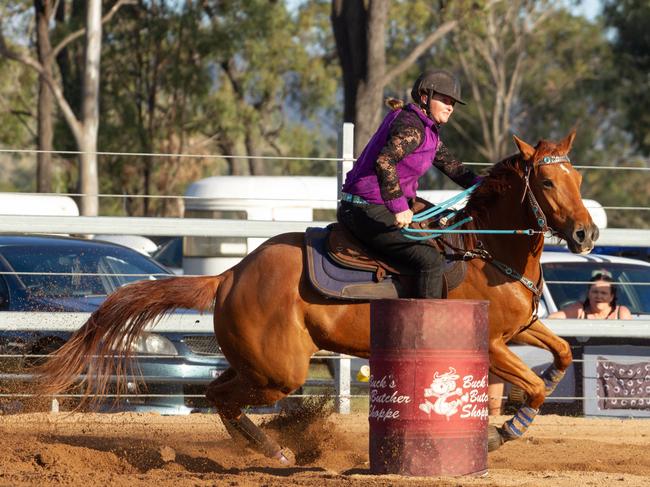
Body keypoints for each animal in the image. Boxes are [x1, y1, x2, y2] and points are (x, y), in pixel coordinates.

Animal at [36, 130, 596, 466]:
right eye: (547, 180)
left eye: (578, 176)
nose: (587, 234)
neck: (484, 248)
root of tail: (230, 275)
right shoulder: (493, 345)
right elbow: (534, 389)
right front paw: (501, 432)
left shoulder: (523, 328)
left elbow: (560, 356)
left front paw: (542, 392)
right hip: (280, 372)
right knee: (223, 398)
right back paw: (276, 452)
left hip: (257, 365)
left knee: (218, 394)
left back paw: (272, 451)